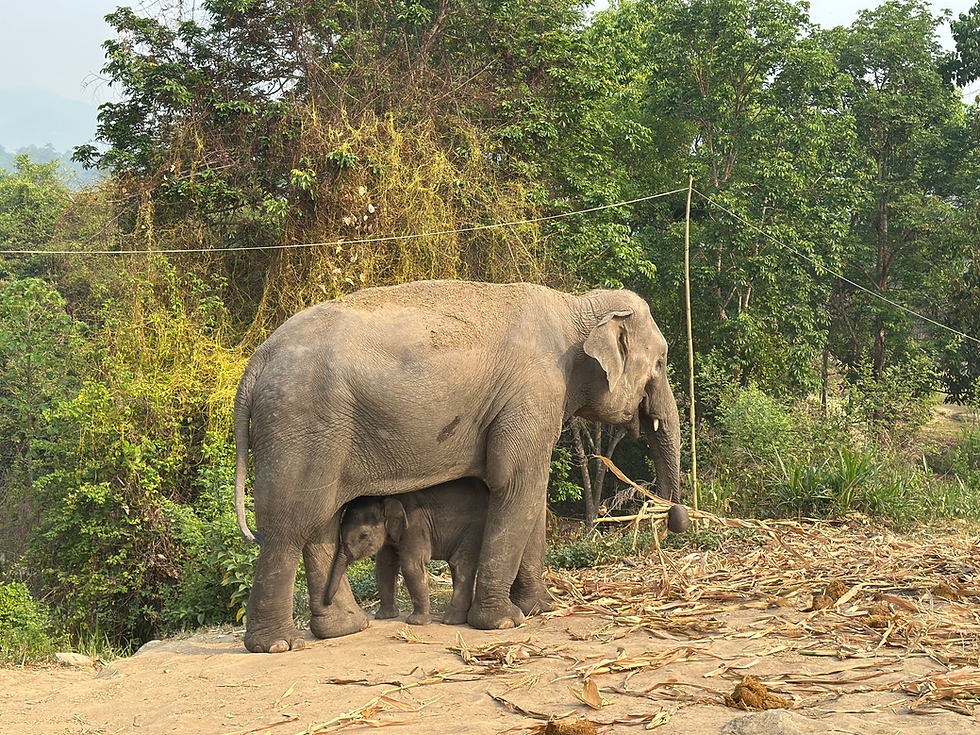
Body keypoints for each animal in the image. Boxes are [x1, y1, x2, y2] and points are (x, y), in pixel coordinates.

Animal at [325, 478, 489, 626]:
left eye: (364, 535)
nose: (327, 602)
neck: (386, 499)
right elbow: (385, 565)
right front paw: (384, 616)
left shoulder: (415, 523)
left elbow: (412, 565)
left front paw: (416, 622)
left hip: (475, 527)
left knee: (460, 561)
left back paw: (451, 620)